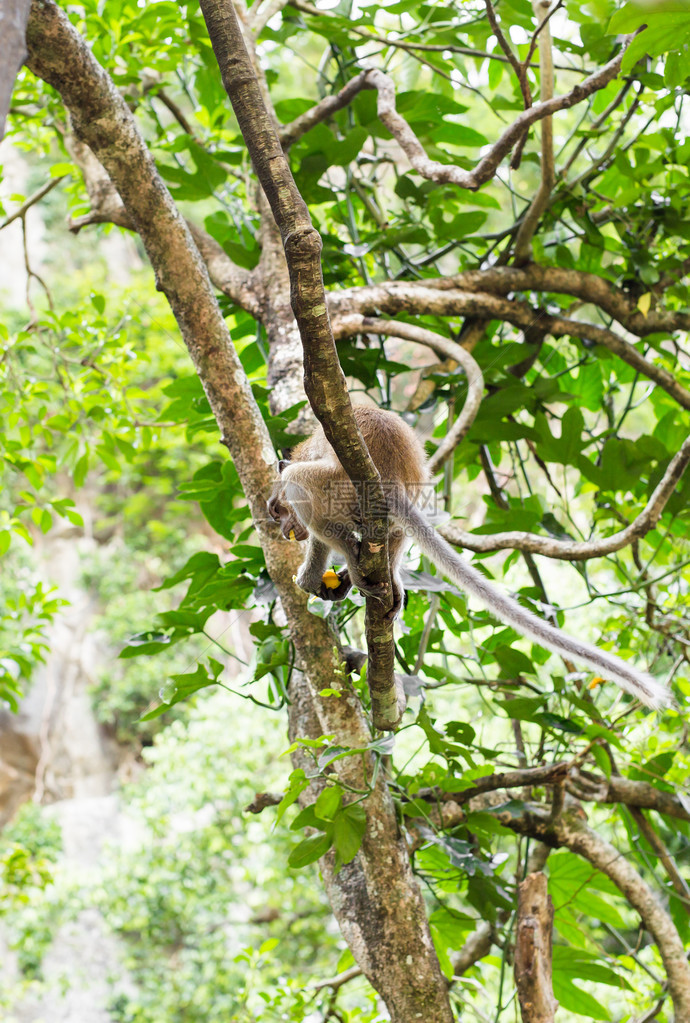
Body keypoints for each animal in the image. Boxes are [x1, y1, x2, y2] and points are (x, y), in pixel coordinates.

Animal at [268, 403, 667, 707]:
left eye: (274, 510)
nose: (282, 527)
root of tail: (389, 476)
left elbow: (305, 507)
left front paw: (310, 577)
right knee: (394, 529)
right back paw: (384, 578)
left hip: (338, 483)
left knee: (301, 481)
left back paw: (351, 554)